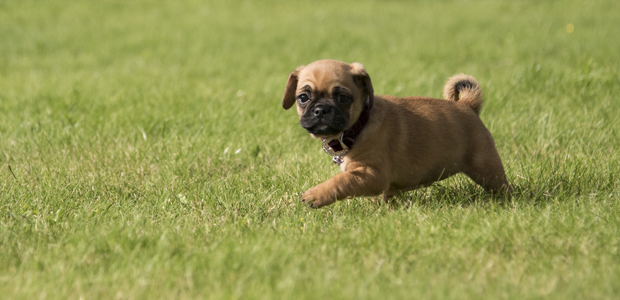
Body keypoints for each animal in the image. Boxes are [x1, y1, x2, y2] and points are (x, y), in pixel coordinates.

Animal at [284, 59, 512, 207]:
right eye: (303, 98)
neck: (360, 125)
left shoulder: (373, 174)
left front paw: (315, 195)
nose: (321, 110)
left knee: (502, 186)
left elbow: (341, 181)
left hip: (486, 168)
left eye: (343, 98)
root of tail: (467, 105)